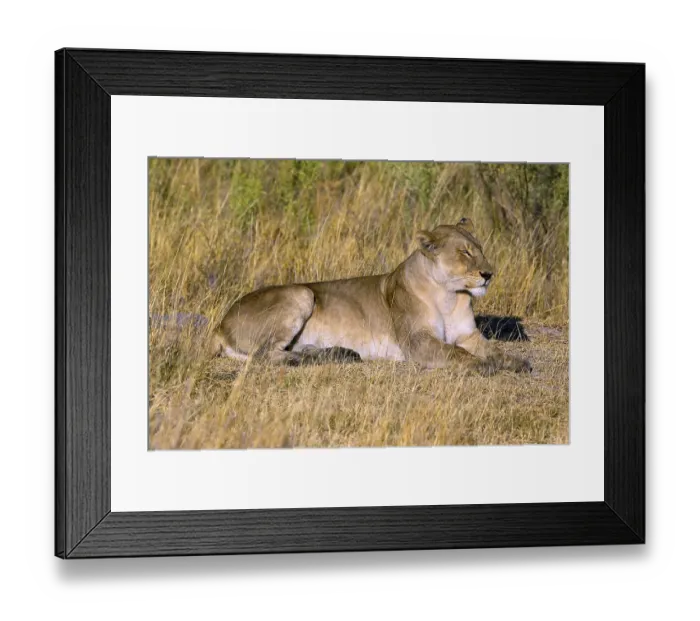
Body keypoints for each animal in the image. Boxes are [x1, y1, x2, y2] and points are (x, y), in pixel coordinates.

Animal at [212, 218, 531, 374]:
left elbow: (493, 349)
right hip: (301, 293)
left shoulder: (468, 335)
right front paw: (482, 366)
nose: (488, 274)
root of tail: (220, 324)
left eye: (480, 249)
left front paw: (516, 362)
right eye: (465, 252)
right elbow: (456, 352)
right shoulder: (417, 342)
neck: (450, 296)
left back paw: (339, 354)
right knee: (266, 354)